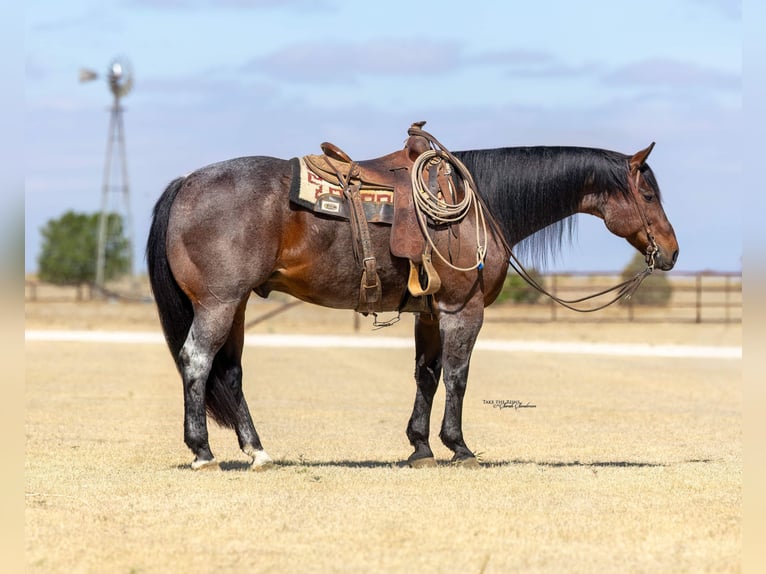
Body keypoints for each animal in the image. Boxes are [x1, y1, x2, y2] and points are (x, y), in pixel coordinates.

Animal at [146, 134, 679, 471]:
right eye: (649, 194)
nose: (671, 252)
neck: (482, 204)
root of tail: (186, 182)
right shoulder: (464, 310)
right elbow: (458, 376)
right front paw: (458, 447)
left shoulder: (431, 314)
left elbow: (427, 374)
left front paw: (420, 447)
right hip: (218, 303)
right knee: (196, 361)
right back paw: (203, 452)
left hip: (234, 306)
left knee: (230, 373)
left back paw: (257, 452)